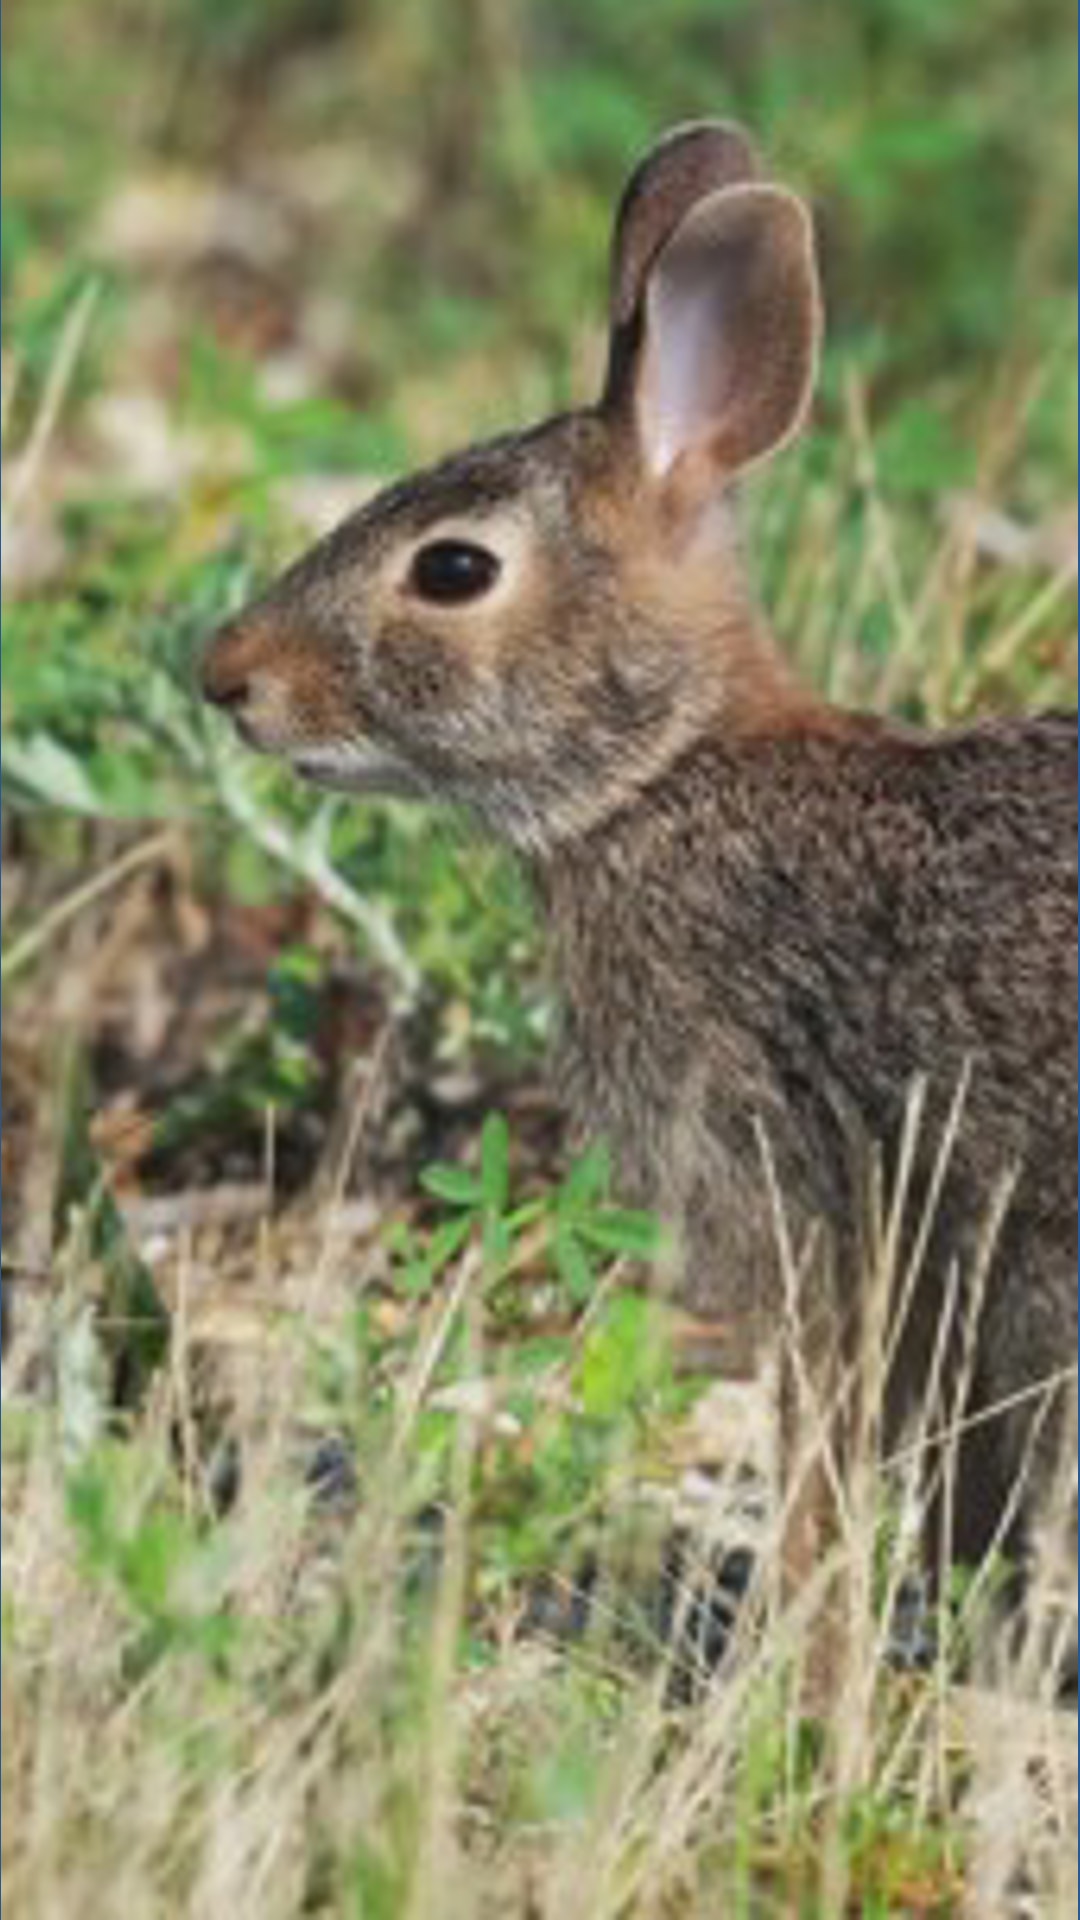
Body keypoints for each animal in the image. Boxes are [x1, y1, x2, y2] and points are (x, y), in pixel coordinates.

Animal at [201, 122, 1077, 1665]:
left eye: (453, 568)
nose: (226, 677)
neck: (663, 771)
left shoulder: (793, 1191)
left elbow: (825, 1445)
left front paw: (801, 1655)